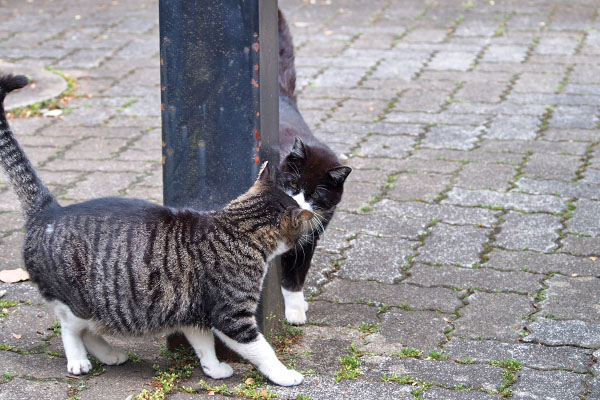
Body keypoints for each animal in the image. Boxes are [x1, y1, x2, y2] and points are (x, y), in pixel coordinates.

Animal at [1, 73, 314, 386]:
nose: (307, 227)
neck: (236, 227)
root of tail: (49, 211)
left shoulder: (192, 313)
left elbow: (203, 344)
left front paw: (214, 368)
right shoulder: (232, 314)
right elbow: (262, 349)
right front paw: (284, 374)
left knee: (88, 331)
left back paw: (110, 354)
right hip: (78, 302)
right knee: (71, 328)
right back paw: (78, 360)